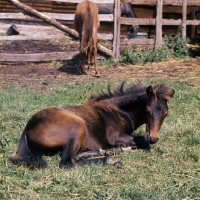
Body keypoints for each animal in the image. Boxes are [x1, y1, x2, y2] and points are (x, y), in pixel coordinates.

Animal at [9, 82, 174, 169]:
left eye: (166, 113)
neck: (119, 110)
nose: (154, 138)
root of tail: (27, 129)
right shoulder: (115, 138)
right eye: (148, 111)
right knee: (67, 162)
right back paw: (109, 159)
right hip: (77, 127)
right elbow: (142, 141)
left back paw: (105, 152)